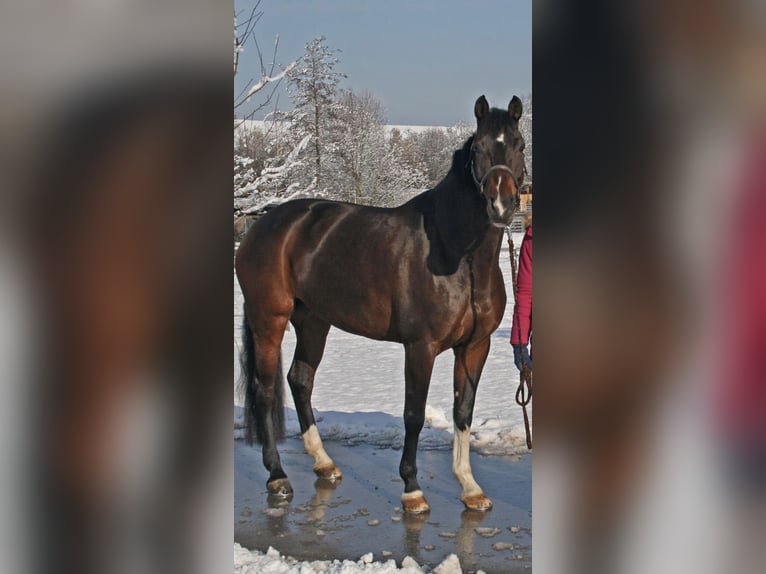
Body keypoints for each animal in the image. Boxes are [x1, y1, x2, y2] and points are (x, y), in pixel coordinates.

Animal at [235, 95, 526, 513]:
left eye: (519, 144)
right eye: (480, 149)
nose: (501, 205)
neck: (457, 254)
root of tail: (262, 225)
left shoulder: (475, 346)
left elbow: (463, 411)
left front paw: (470, 488)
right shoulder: (420, 347)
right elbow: (413, 415)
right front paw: (412, 490)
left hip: (313, 321)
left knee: (300, 380)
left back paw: (324, 464)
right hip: (268, 318)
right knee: (266, 390)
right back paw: (277, 476)